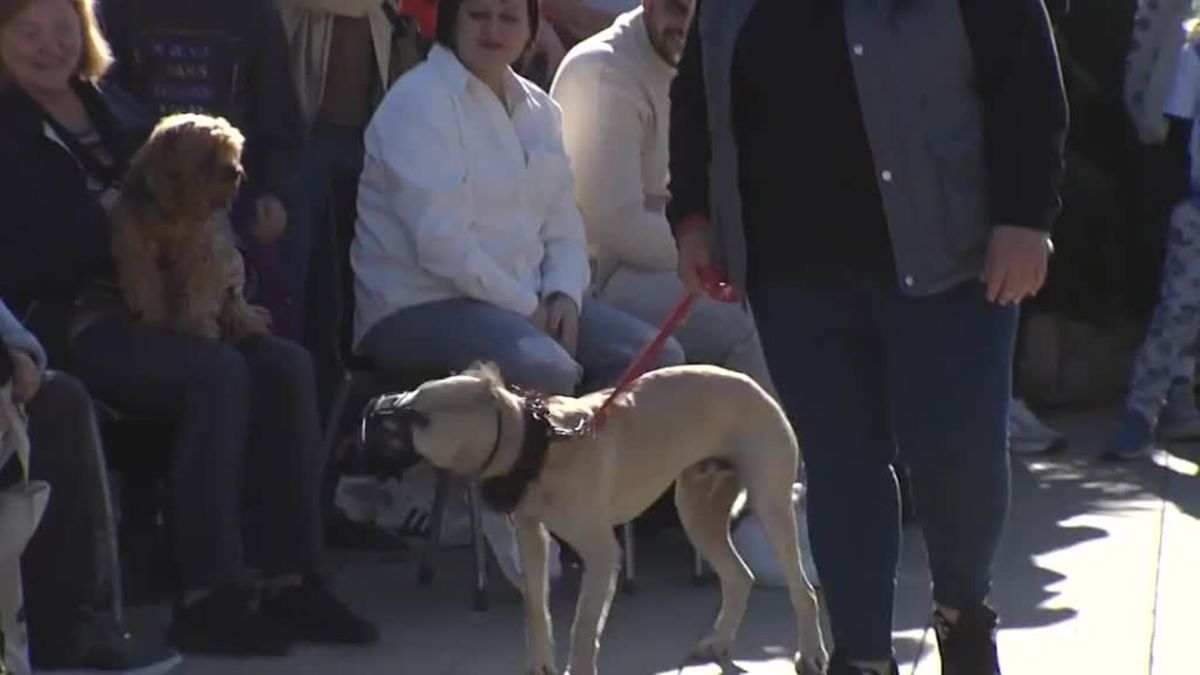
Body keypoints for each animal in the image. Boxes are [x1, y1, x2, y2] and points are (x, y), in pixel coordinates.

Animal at [111, 113, 272, 341]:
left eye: (232, 150)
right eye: (209, 153)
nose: (236, 172)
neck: (175, 209)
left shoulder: (203, 257)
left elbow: (197, 297)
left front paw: (196, 328)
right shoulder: (138, 255)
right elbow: (148, 289)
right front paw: (154, 323)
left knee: (234, 305)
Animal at [364, 362, 830, 672]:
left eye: (420, 417)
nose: (370, 409)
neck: (537, 442)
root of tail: (752, 383)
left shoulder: (603, 555)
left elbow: (584, 626)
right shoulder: (531, 538)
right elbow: (537, 610)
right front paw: (541, 665)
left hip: (771, 507)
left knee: (803, 591)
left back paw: (810, 653)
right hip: (698, 513)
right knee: (738, 577)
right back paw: (716, 643)